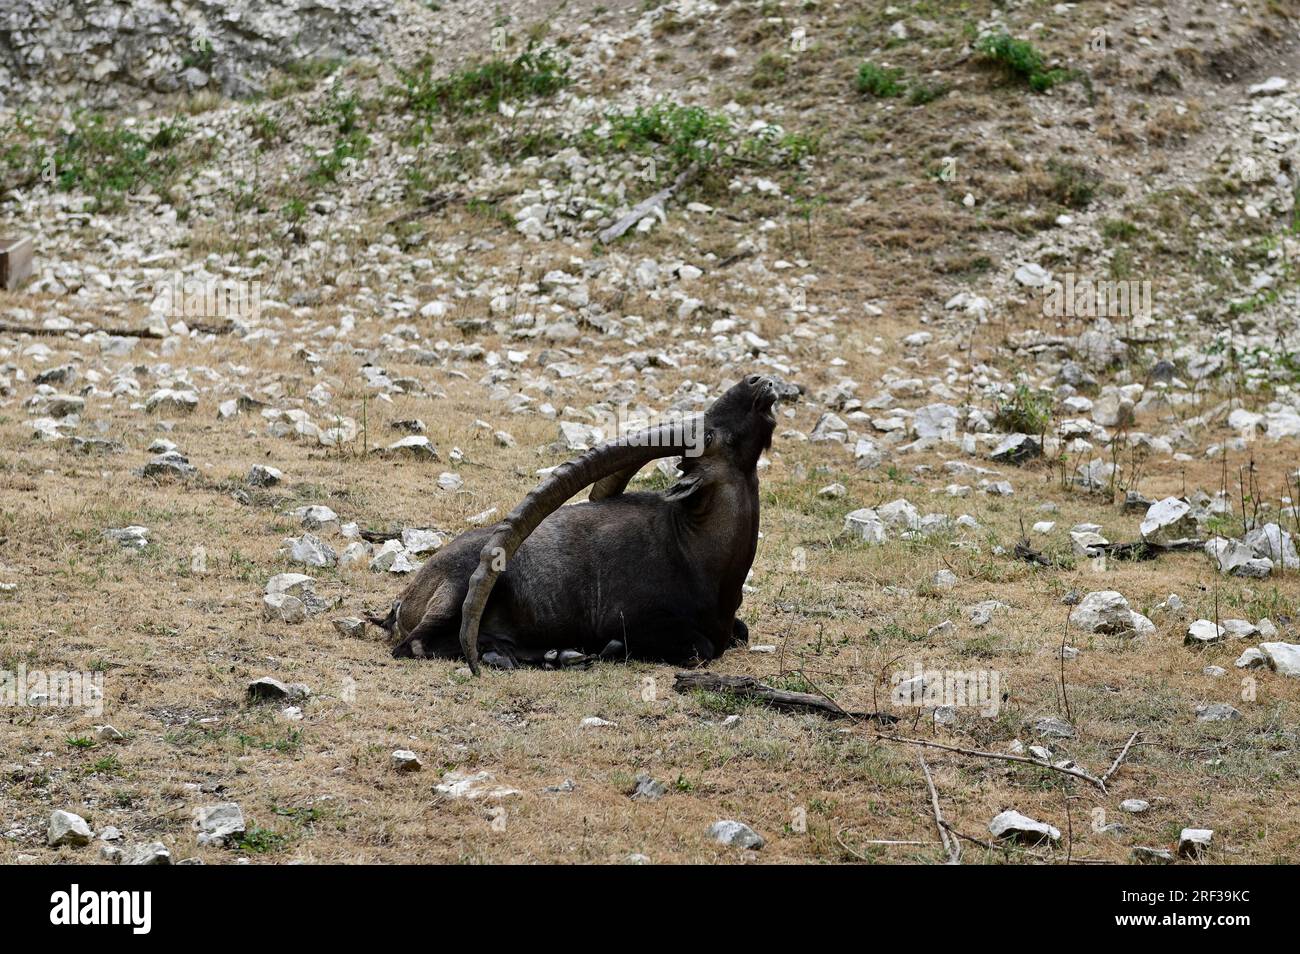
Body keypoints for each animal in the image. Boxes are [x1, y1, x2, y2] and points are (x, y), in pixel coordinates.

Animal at [372, 375, 779, 674]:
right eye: (709, 435)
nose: (757, 382)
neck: (693, 550)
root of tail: (402, 600)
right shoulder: (636, 621)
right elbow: (700, 648)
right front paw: (608, 649)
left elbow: (741, 632)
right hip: (457, 588)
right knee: (417, 644)